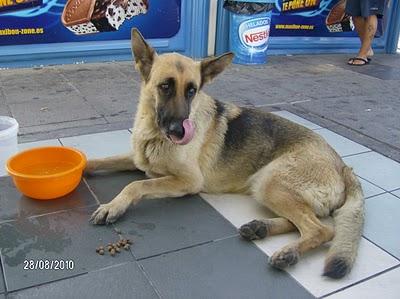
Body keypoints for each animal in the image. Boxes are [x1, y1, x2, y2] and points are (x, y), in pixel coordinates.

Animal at [86, 28, 362, 278]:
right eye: (165, 86)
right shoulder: (137, 159)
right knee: (303, 222)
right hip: (269, 188)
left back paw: (289, 252)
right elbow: (97, 161)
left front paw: (113, 206)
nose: (180, 132)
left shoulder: (188, 181)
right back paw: (260, 228)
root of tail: (342, 166)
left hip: (270, 182)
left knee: (322, 230)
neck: (154, 132)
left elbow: (137, 185)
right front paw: (84, 168)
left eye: (192, 90)